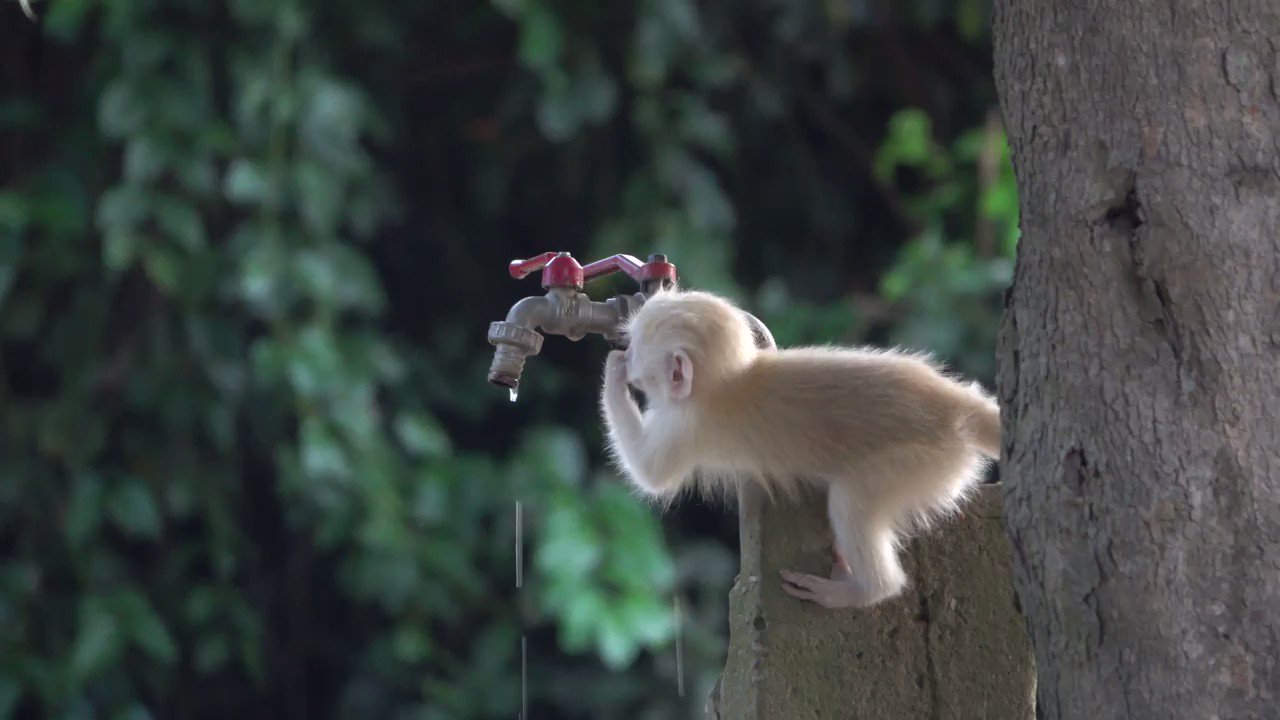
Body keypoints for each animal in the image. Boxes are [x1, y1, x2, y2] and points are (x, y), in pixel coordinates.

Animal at [599, 285, 998, 604]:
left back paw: (863, 591)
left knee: (852, 501)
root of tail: (958, 408)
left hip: (926, 461)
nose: (626, 353)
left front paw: (613, 374)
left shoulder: (686, 425)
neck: (727, 382)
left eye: (636, 348)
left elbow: (651, 475)